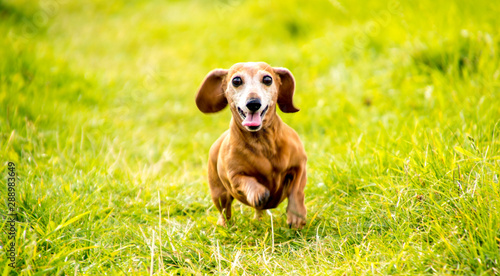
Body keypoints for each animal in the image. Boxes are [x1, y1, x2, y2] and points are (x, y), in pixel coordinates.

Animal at [196, 62, 306, 229]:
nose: (253, 103)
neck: (262, 144)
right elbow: (246, 181)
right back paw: (226, 226)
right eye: (236, 80)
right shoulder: (234, 177)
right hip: (219, 194)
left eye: (267, 79)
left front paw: (296, 215)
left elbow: (297, 189)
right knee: (225, 212)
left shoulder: (299, 164)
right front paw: (258, 192)